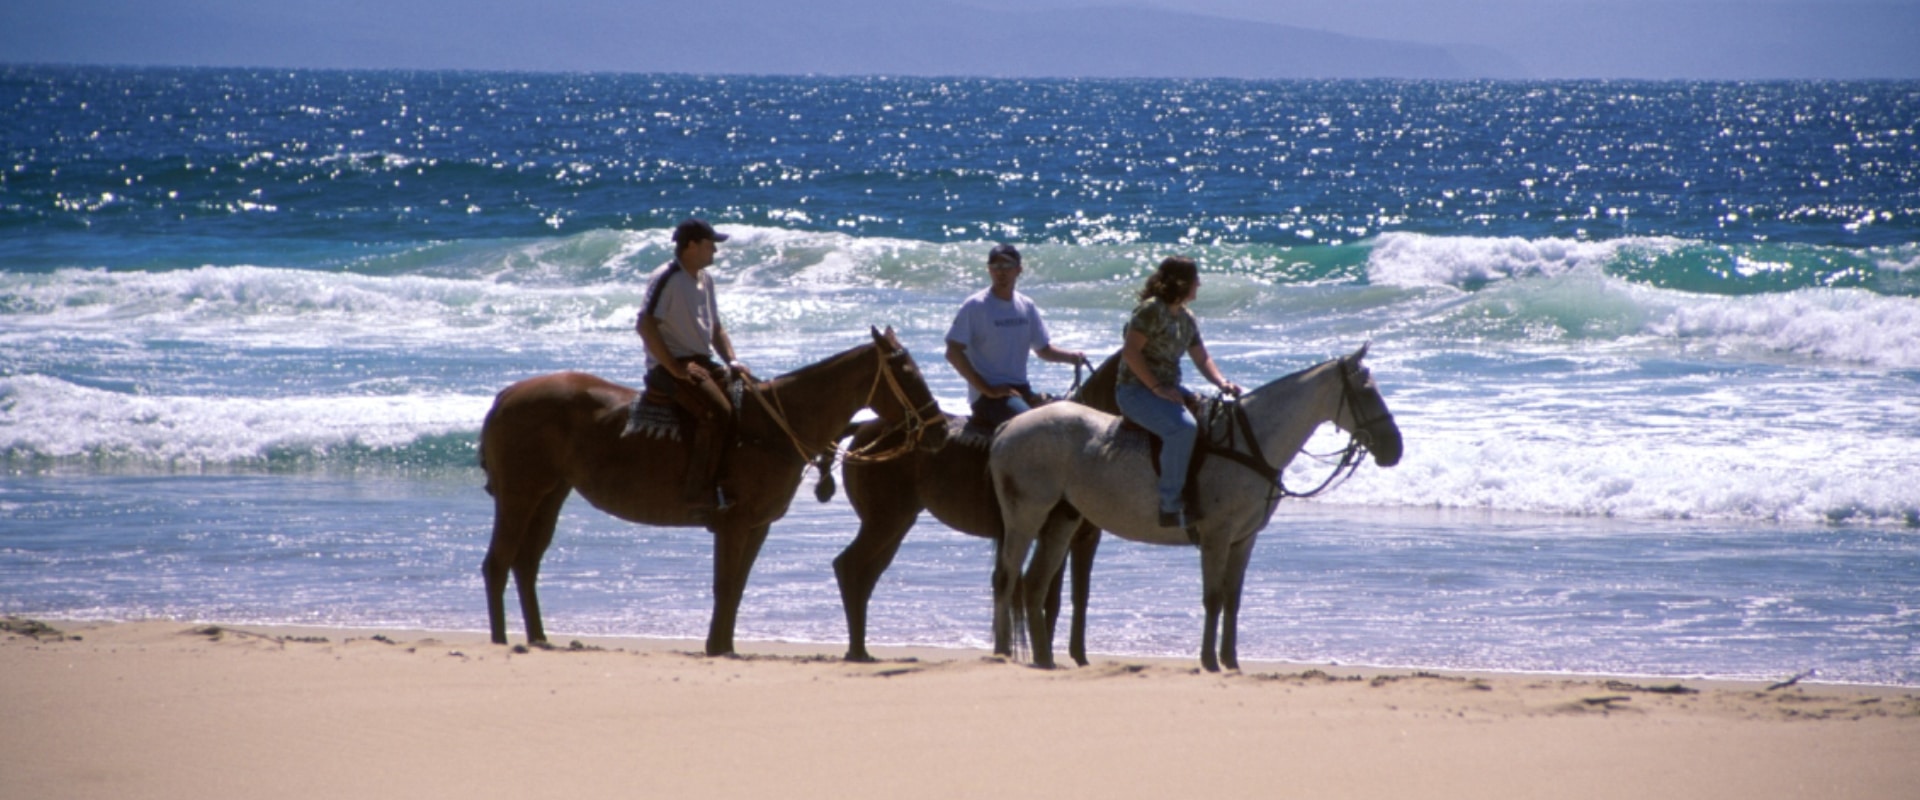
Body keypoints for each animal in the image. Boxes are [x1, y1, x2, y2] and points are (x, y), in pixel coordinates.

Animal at [480, 326, 944, 656]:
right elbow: (724, 584)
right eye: (907, 373)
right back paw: (501, 641)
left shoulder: (756, 527)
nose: (939, 430)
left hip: (550, 494)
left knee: (526, 563)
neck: (771, 426)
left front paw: (723, 645)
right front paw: (718, 648)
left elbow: (736, 587)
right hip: (519, 494)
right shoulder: (733, 523)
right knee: (498, 562)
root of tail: (508, 394)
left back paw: (538, 637)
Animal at [829, 352, 1121, 659]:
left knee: (866, 575)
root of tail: (864, 428)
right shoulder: (1058, 531)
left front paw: (1079, 656)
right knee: (850, 566)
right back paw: (857, 651)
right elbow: (1050, 598)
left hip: (896, 523)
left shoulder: (1086, 537)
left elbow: (1080, 595)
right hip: (884, 521)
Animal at [983, 341, 1405, 667]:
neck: (1249, 443)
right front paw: (1209, 661)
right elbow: (1213, 598)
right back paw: (1004, 652)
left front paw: (1231, 661)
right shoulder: (1217, 535)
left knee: (1034, 584)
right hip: (1025, 517)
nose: (1394, 449)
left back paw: (1044, 659)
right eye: (1366, 391)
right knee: (1006, 578)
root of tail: (1008, 427)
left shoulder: (1244, 539)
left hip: (1062, 520)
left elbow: (1232, 600)